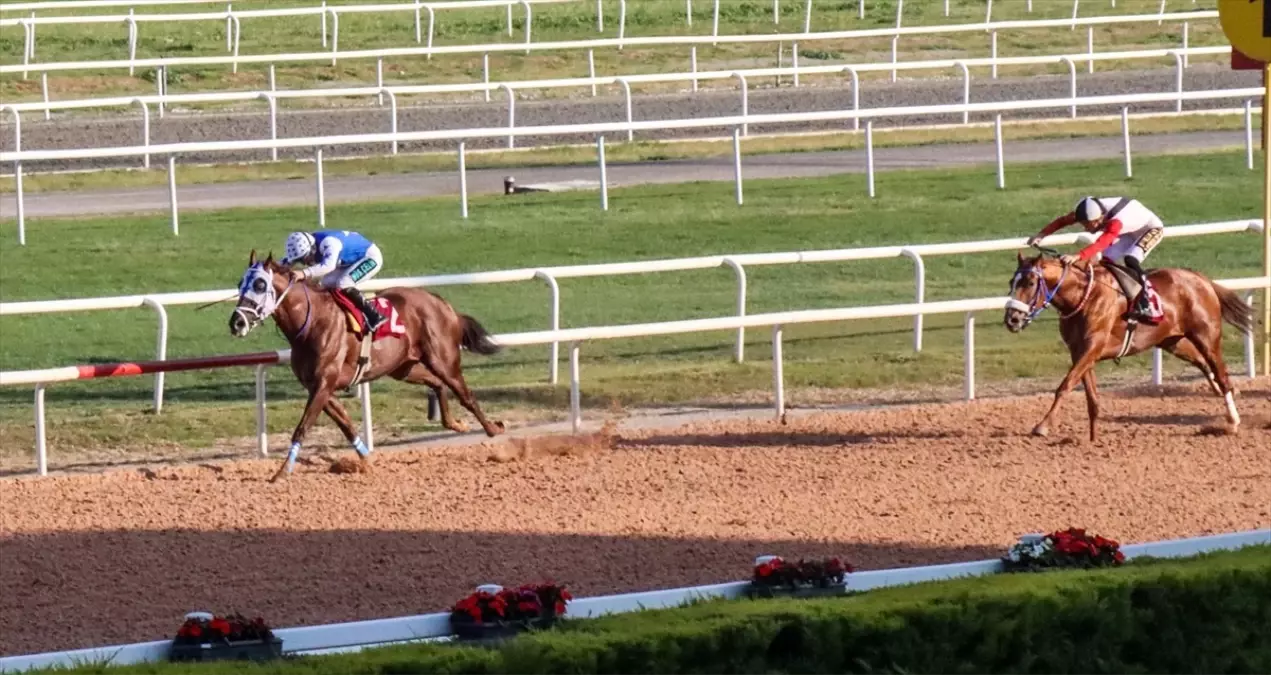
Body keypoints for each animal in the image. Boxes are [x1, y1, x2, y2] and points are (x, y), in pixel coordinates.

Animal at [228, 251, 505, 480]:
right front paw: (367, 459)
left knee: (466, 395)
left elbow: (302, 428)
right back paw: (455, 423)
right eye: (240, 284)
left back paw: (493, 429)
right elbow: (346, 425)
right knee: (437, 383)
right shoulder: (320, 388)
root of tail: (443, 304)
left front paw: (282, 472)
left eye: (260, 284)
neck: (312, 322)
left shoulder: (323, 384)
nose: (236, 322)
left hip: (443, 360)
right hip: (403, 368)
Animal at [1006, 245, 1255, 442]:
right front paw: (1093, 438)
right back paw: (1223, 393)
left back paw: (1233, 420)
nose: (1012, 319)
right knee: (1205, 365)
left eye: (1030, 282)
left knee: (1221, 373)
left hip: (1207, 337)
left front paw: (1042, 426)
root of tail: (1202, 279)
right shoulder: (1080, 352)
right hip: (1172, 341)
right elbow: (1091, 398)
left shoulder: (1092, 347)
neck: (1082, 297)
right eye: (1012, 282)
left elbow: (1065, 385)